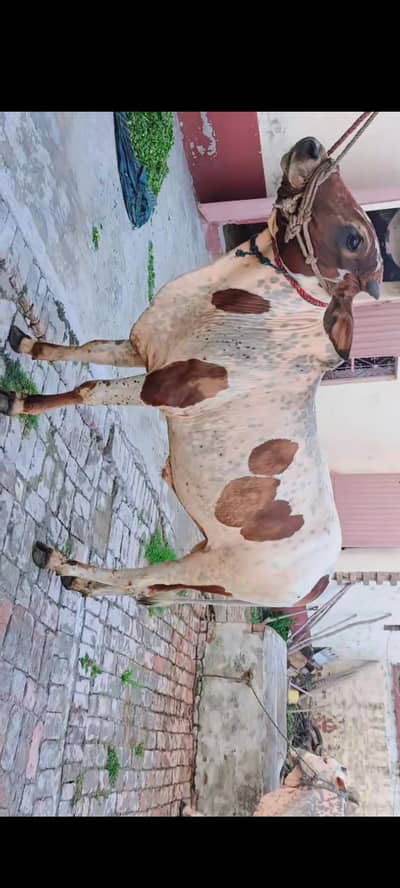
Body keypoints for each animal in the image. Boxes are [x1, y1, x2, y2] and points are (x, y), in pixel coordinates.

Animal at [1, 136, 382, 606]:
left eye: (355, 238)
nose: (312, 146)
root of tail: (320, 583)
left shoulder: (160, 388)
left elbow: (88, 388)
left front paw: (18, 402)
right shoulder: (145, 350)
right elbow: (85, 350)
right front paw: (28, 345)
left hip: (211, 568)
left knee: (141, 581)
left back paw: (63, 564)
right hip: (207, 563)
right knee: (153, 589)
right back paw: (84, 583)